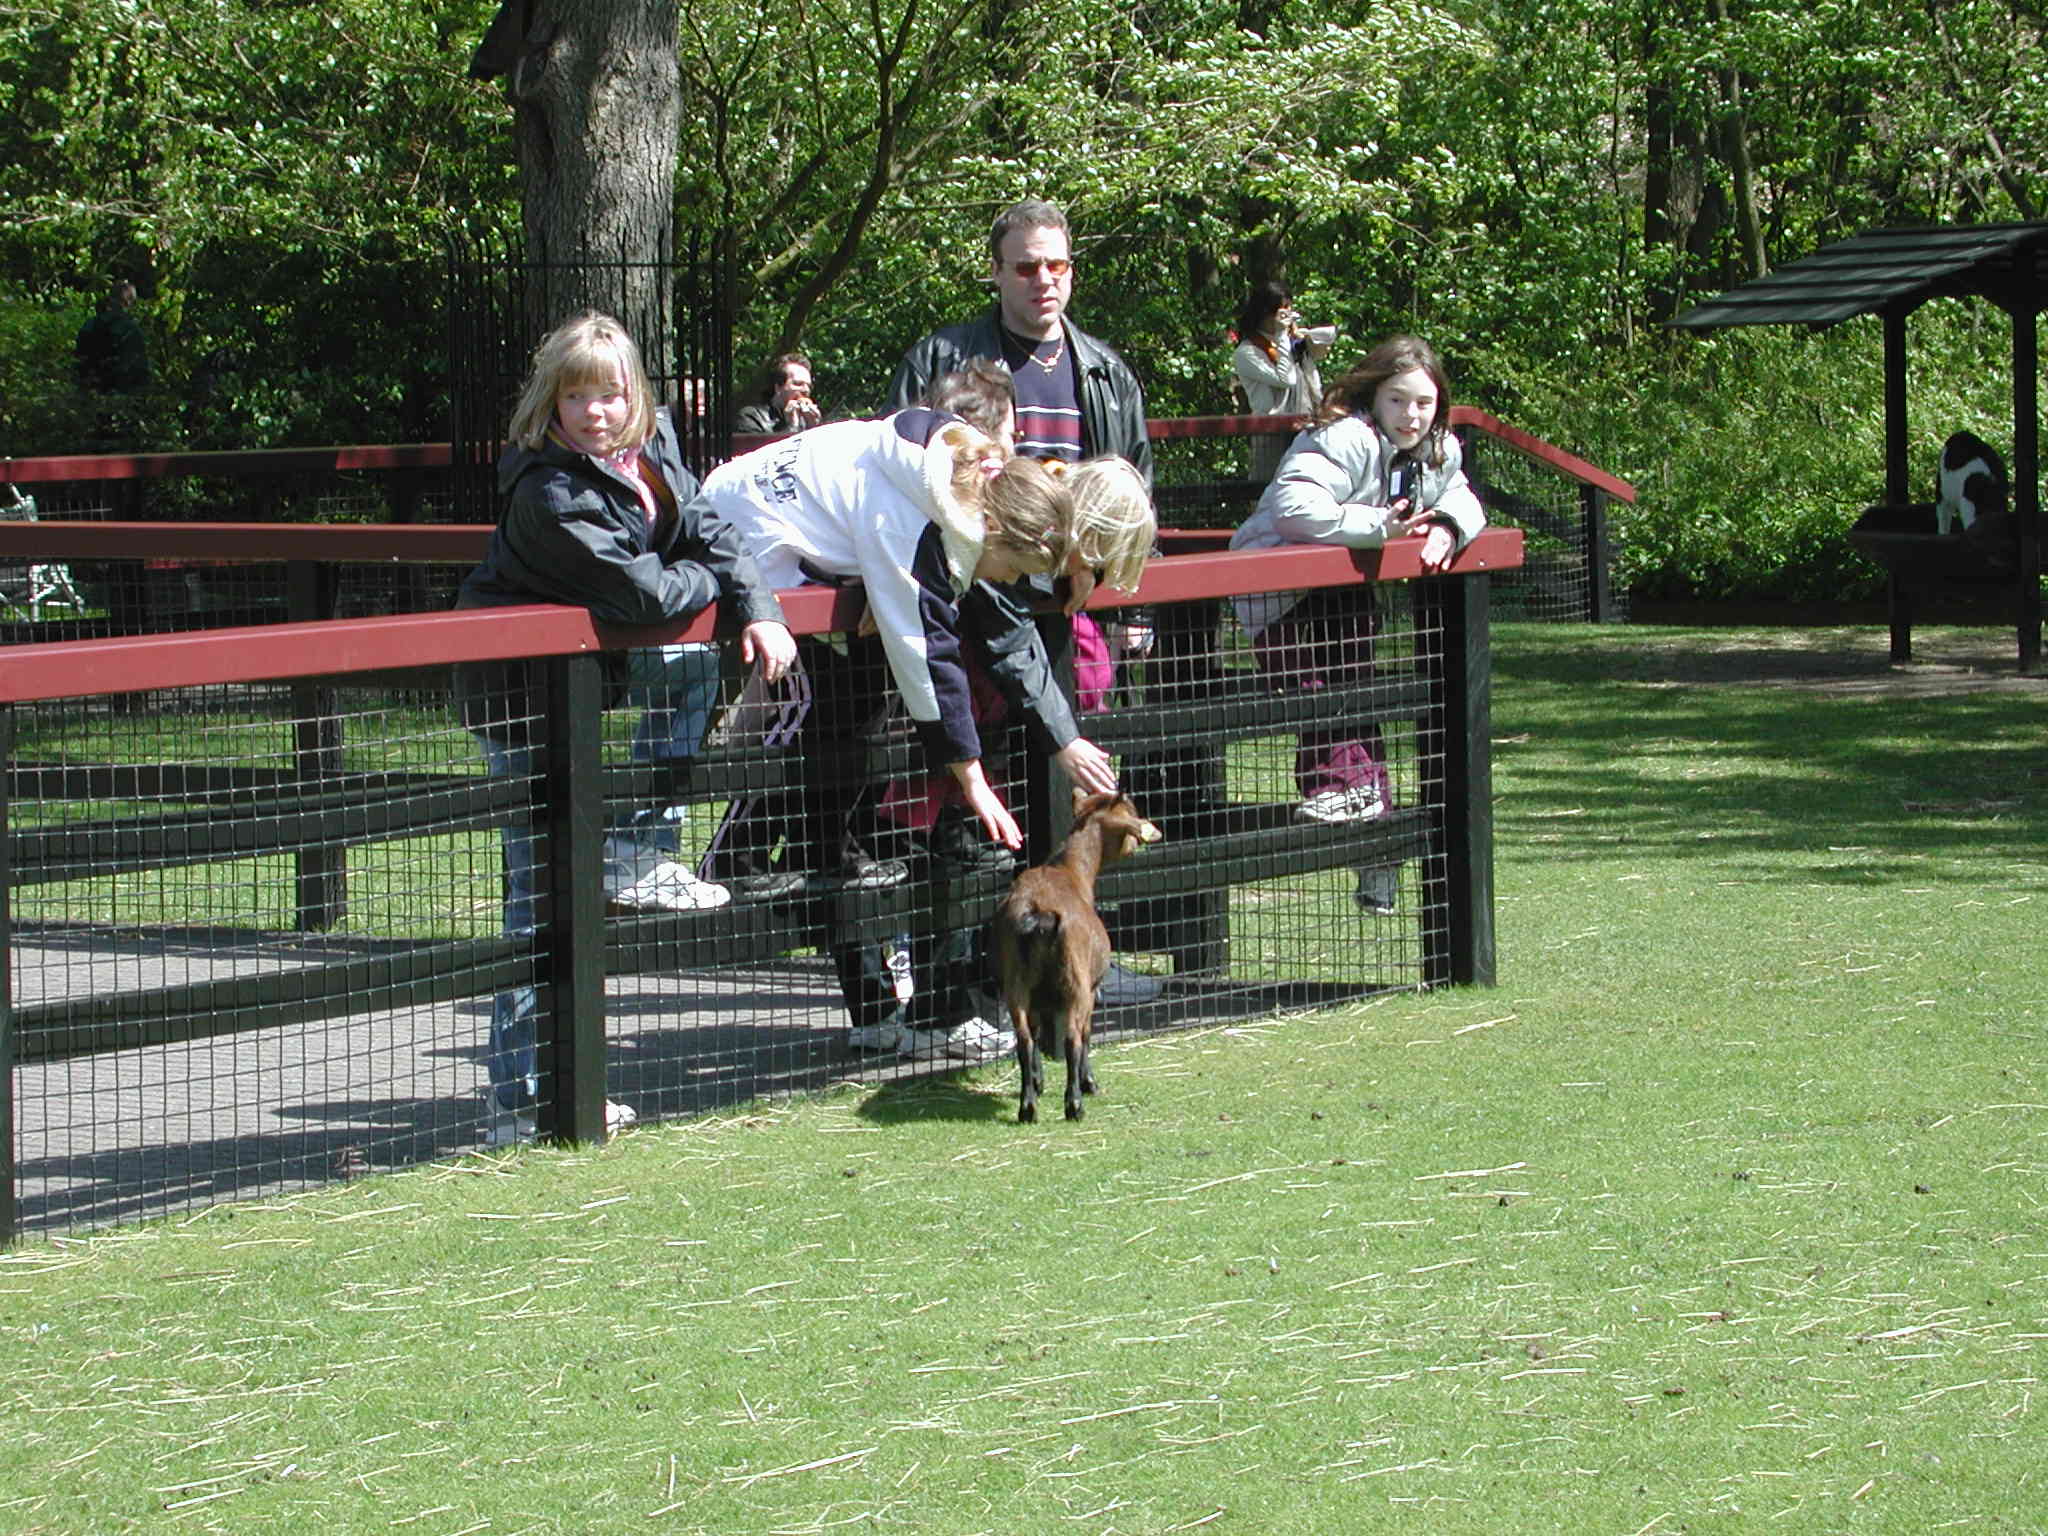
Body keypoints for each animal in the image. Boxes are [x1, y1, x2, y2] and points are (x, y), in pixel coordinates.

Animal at [990, 789, 1163, 1123]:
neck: (1071, 871)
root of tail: (1039, 914)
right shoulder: (1092, 988)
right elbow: (1086, 1034)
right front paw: (1088, 1082)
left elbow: (1036, 1034)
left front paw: (1039, 1081)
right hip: (1075, 983)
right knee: (1071, 1038)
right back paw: (1074, 1104)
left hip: (1016, 983)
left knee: (1024, 1039)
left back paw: (1028, 1107)